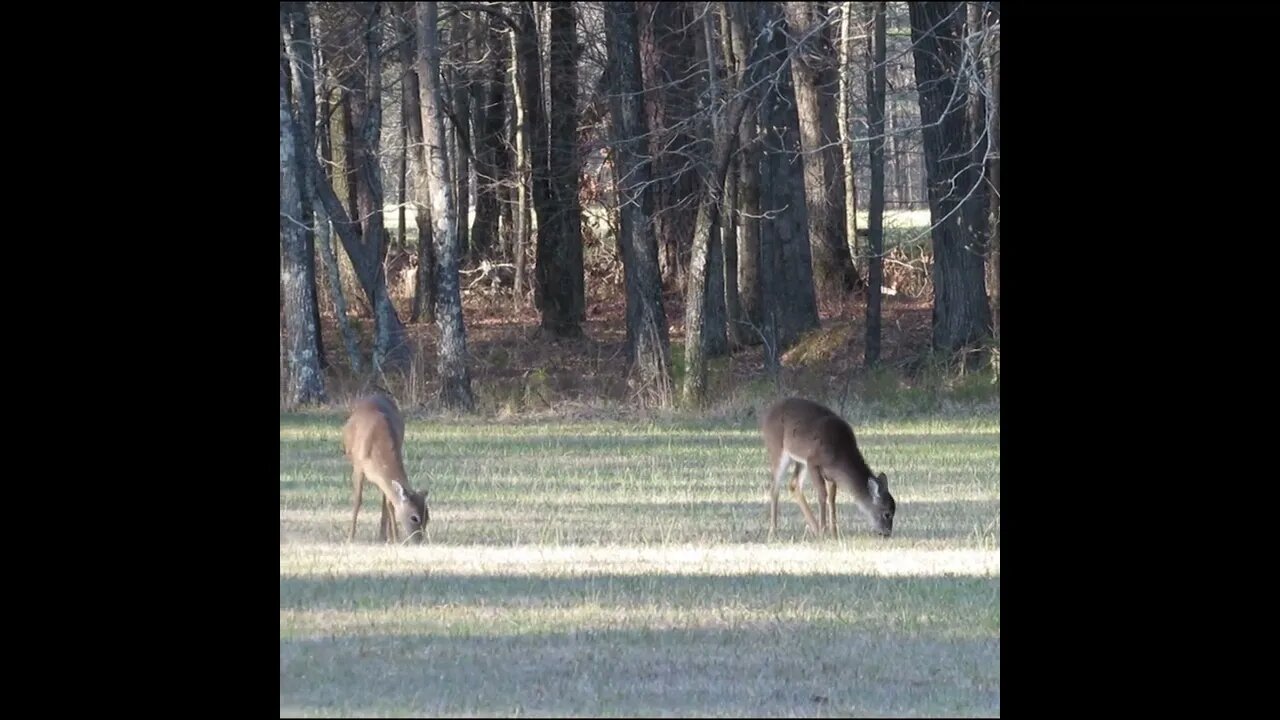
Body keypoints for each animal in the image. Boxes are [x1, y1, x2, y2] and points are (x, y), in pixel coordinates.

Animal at [340, 394, 430, 540]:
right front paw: (350, 538)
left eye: (427, 517)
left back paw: (383, 535)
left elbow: (389, 503)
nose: (419, 540)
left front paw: (394, 539)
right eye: (414, 517)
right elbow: (357, 500)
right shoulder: (358, 467)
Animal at [757, 394, 901, 535]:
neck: (839, 455)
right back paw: (773, 532)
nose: (887, 533)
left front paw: (834, 533)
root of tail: (767, 414)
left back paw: (814, 529)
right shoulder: (813, 462)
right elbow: (822, 495)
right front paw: (824, 531)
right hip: (777, 448)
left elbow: (832, 498)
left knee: (794, 484)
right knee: (774, 487)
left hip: (800, 460)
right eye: (887, 514)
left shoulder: (831, 474)